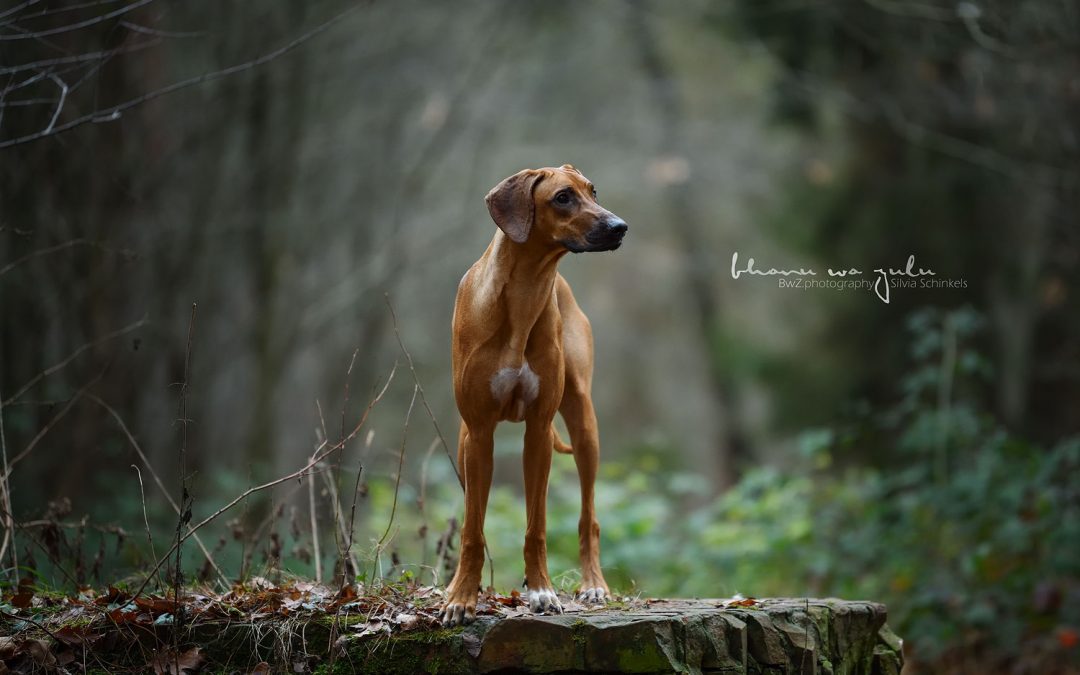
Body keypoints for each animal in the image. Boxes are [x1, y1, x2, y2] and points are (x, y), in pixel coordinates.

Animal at [438, 164, 626, 626]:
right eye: (562, 197)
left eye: (593, 191)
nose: (620, 227)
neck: (526, 292)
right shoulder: (480, 432)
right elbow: (472, 529)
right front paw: (461, 598)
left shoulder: (539, 430)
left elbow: (536, 525)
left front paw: (541, 591)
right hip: (465, 439)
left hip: (584, 427)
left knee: (589, 517)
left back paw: (594, 584)